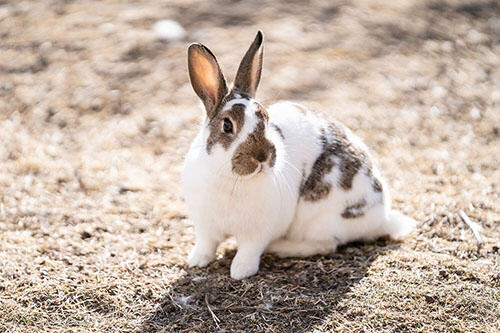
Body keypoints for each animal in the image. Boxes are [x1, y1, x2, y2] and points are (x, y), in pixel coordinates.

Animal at [182, 31, 416, 278]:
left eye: (267, 119)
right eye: (227, 125)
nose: (262, 156)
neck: (231, 179)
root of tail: (381, 217)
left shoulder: (258, 233)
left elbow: (249, 251)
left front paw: (240, 271)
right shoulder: (205, 226)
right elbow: (206, 244)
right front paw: (196, 261)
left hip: (321, 217)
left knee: (326, 244)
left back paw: (283, 247)